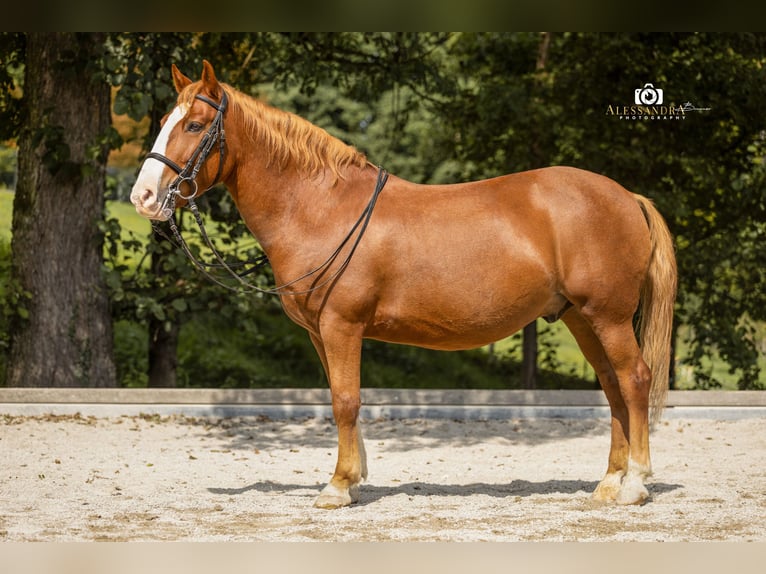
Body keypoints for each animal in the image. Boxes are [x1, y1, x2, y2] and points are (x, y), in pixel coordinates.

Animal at [131, 60, 677, 509]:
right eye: (162, 124)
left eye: (195, 125)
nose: (143, 196)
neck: (322, 209)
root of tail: (625, 195)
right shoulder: (320, 332)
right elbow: (340, 397)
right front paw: (353, 479)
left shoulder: (342, 326)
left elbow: (346, 401)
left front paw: (337, 487)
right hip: (582, 319)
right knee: (612, 386)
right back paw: (608, 483)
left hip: (607, 317)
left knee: (634, 380)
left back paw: (634, 484)